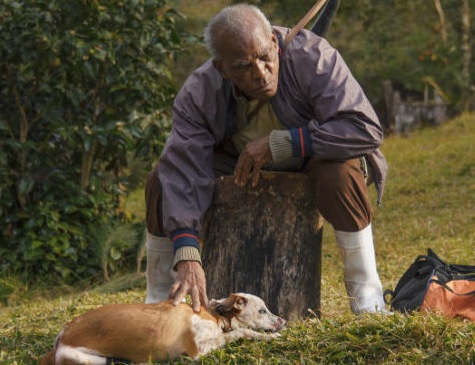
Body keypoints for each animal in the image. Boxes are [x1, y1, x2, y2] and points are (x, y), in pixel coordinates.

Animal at [40, 292, 286, 364]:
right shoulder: (198, 351)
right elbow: (241, 332)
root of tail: (60, 338)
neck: (214, 316)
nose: (284, 322)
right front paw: (271, 337)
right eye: (262, 310)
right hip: (90, 361)